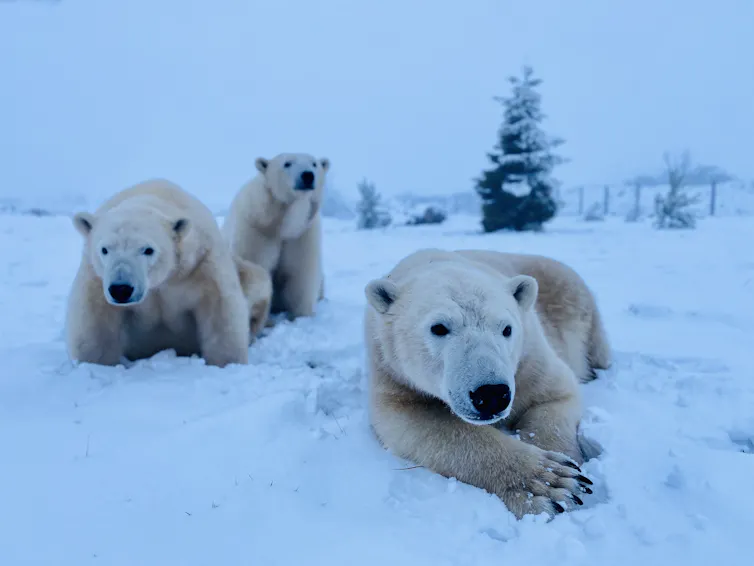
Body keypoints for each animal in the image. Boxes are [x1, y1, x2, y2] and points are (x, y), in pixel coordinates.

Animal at [65, 178, 273, 368]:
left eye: (148, 250)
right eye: (104, 249)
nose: (121, 289)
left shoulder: (200, 265)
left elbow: (219, 309)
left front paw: (226, 363)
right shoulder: (96, 276)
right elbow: (95, 319)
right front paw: (96, 364)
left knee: (257, 280)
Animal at [221, 152, 330, 322]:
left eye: (314, 164)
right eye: (287, 163)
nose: (307, 175)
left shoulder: (302, 234)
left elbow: (301, 272)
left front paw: (300, 315)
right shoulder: (256, 229)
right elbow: (255, 267)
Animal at [363, 248, 611, 520]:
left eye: (507, 329)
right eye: (438, 327)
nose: (492, 394)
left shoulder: (529, 357)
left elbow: (554, 395)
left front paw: (570, 474)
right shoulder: (391, 371)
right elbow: (420, 421)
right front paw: (549, 483)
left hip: (578, 306)